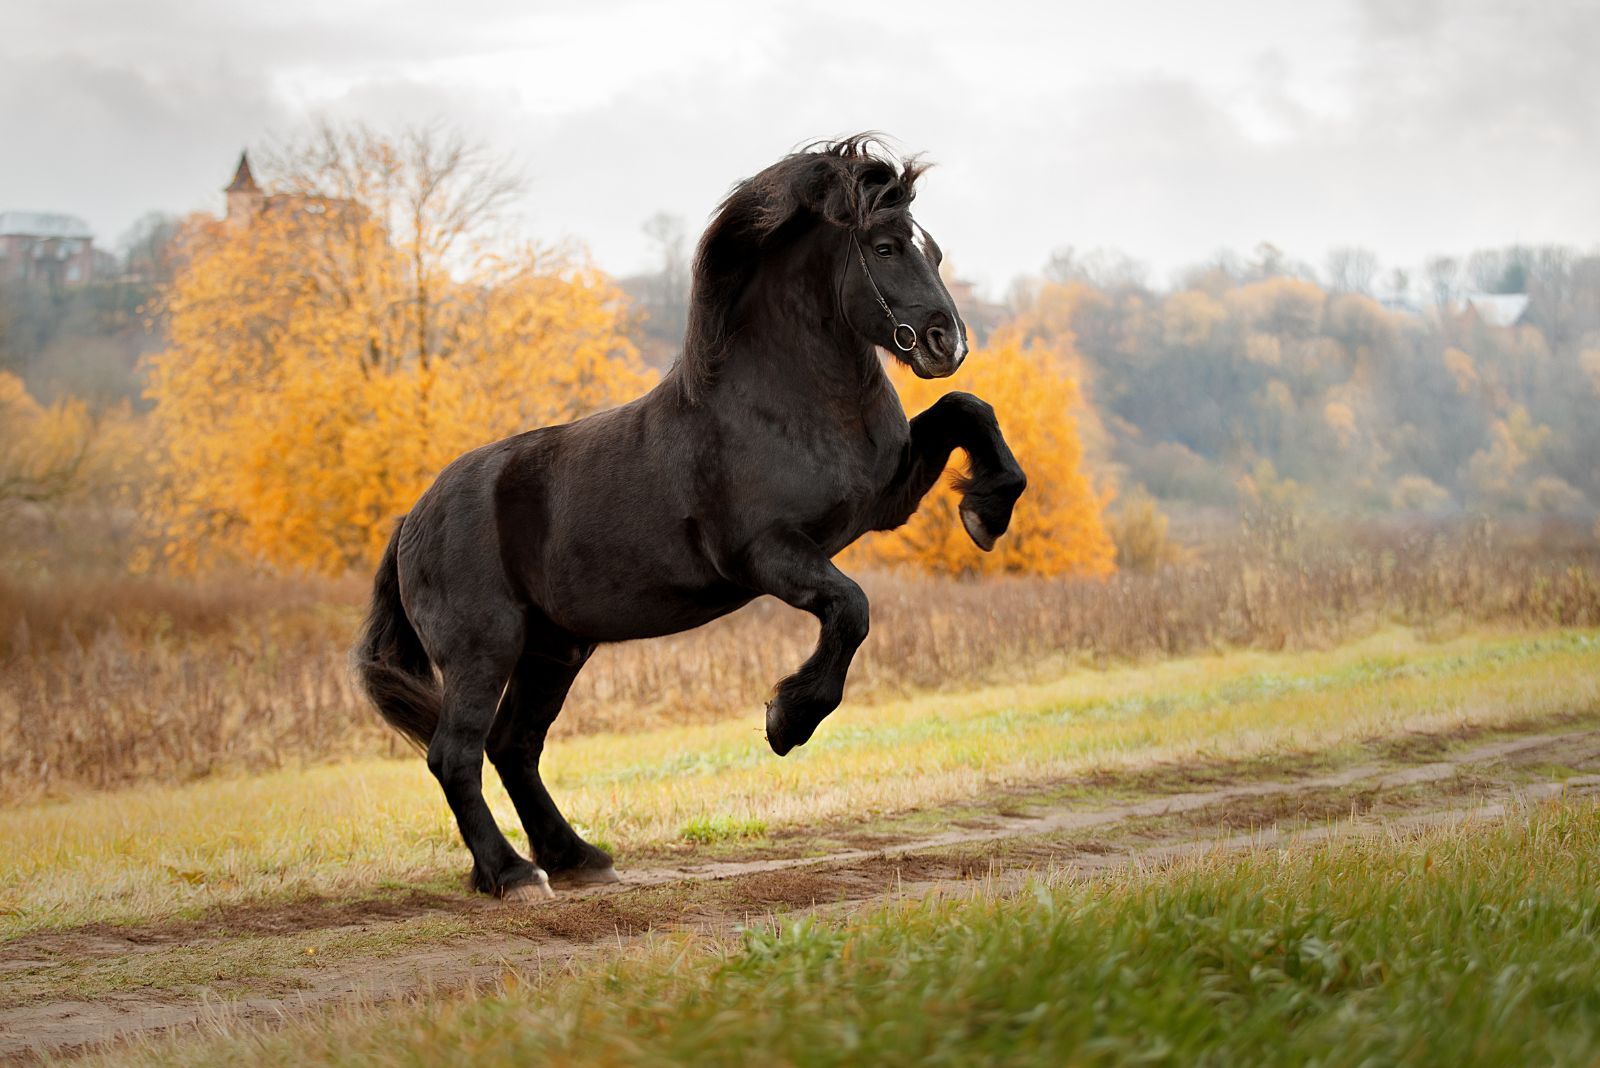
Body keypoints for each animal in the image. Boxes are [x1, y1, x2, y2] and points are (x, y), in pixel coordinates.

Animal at [353, 135, 1024, 901]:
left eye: (932, 251)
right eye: (884, 246)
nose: (947, 343)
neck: (787, 401)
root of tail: (411, 520)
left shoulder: (887, 500)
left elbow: (968, 410)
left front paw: (986, 511)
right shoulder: (767, 553)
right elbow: (852, 608)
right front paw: (787, 720)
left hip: (555, 649)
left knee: (512, 746)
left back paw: (576, 857)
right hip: (483, 648)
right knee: (455, 754)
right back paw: (513, 874)